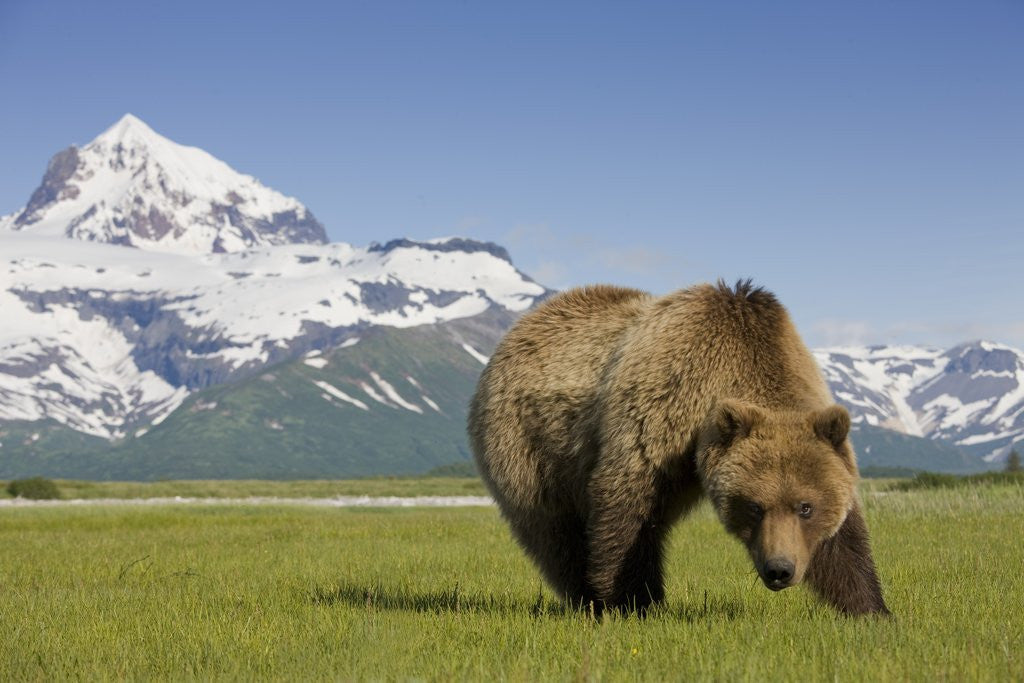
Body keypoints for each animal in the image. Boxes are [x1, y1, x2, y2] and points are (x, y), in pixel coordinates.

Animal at [468, 280, 888, 618]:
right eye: (754, 506)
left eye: (806, 507)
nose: (779, 569)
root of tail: (522, 326)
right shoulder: (661, 410)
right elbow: (627, 508)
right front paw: (632, 603)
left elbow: (844, 541)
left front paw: (870, 609)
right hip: (530, 444)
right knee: (553, 530)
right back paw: (584, 598)